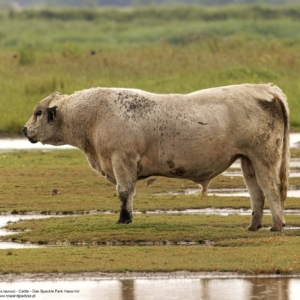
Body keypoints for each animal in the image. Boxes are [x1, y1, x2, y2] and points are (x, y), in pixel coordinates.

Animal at [24, 83, 290, 231]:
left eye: (38, 112)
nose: (25, 130)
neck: (95, 116)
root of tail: (266, 89)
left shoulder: (122, 160)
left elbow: (124, 192)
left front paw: (124, 219)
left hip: (264, 158)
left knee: (270, 189)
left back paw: (276, 226)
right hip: (248, 161)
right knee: (256, 193)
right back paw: (253, 226)